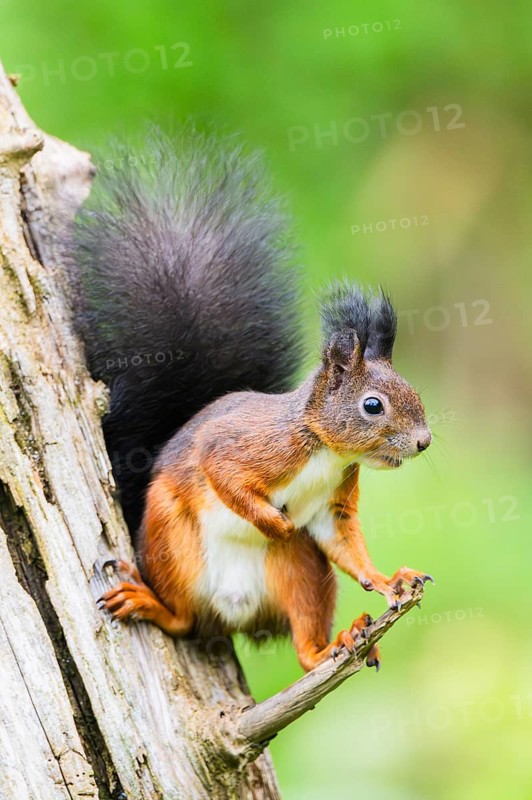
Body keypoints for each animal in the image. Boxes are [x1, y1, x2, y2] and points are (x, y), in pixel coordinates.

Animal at [71, 126, 433, 673]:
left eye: (413, 391)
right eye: (373, 405)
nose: (424, 442)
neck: (323, 449)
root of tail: (233, 616)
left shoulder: (334, 506)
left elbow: (345, 543)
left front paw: (389, 579)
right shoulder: (246, 445)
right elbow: (224, 473)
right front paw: (274, 521)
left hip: (301, 573)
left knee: (304, 647)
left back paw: (342, 639)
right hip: (170, 542)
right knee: (180, 619)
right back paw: (150, 601)